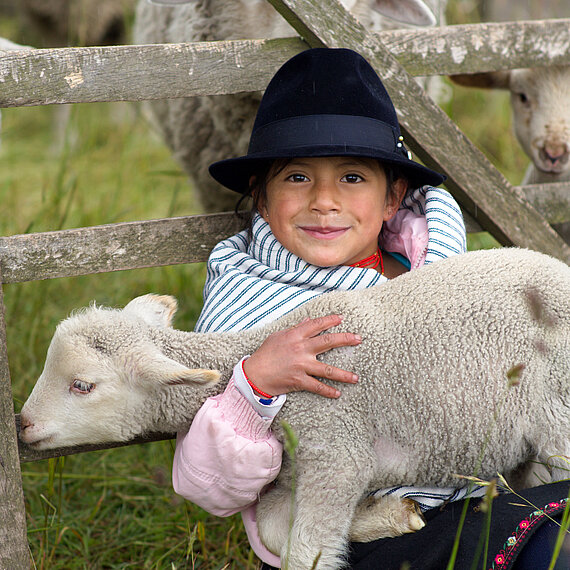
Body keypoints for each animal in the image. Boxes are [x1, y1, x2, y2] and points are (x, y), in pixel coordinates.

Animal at [20, 248, 568, 568]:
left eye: (82, 386)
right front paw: (390, 516)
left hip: (559, 415)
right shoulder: (288, 476)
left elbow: (306, 550)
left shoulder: (335, 449)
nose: (22, 424)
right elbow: (274, 530)